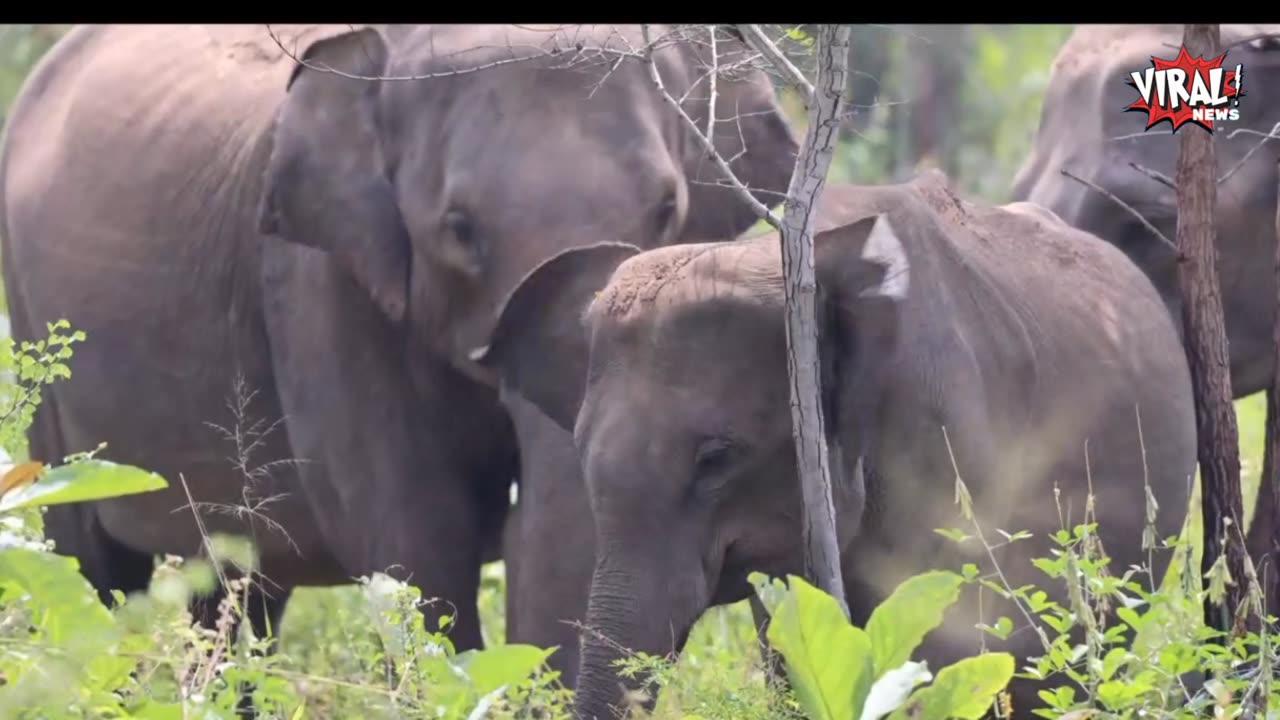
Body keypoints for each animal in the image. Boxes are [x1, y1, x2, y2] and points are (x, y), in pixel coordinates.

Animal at [0, 23, 798, 661]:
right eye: (459, 228)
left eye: (667, 209)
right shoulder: (320, 286)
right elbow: (418, 549)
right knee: (94, 568)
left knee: (237, 586)